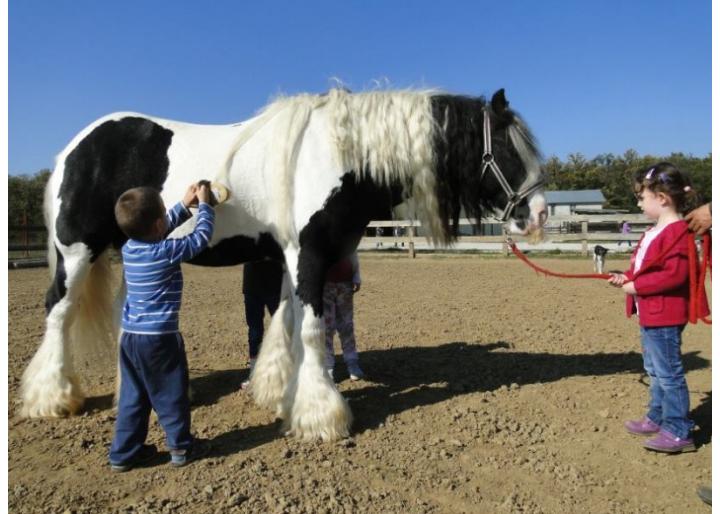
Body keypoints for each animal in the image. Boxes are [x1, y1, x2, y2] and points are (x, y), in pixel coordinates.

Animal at [18, 87, 544, 440]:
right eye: (506, 148)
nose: (537, 214)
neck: (340, 154)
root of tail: (73, 148)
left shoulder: (296, 256)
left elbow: (286, 324)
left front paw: (277, 393)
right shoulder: (307, 254)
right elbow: (310, 330)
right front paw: (321, 416)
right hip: (77, 252)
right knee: (58, 313)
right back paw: (52, 398)